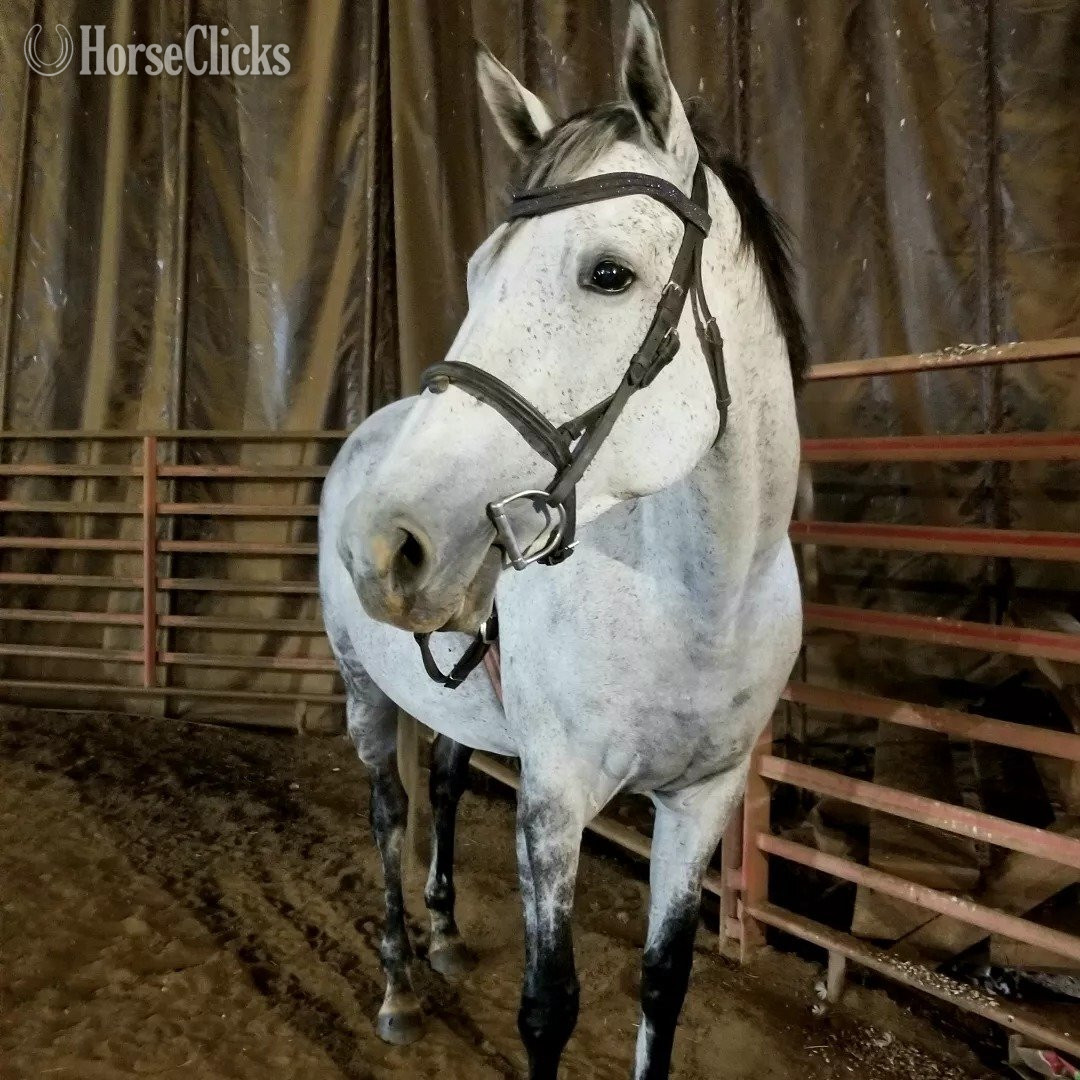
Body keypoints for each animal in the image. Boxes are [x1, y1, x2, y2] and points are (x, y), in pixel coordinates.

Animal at [318, 3, 806, 1076]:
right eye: (473, 274)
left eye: (608, 274)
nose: (385, 545)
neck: (697, 605)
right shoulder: (555, 799)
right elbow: (550, 1006)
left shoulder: (701, 802)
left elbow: (663, 985)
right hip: (365, 692)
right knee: (388, 812)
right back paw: (399, 985)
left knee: (446, 781)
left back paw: (446, 935)